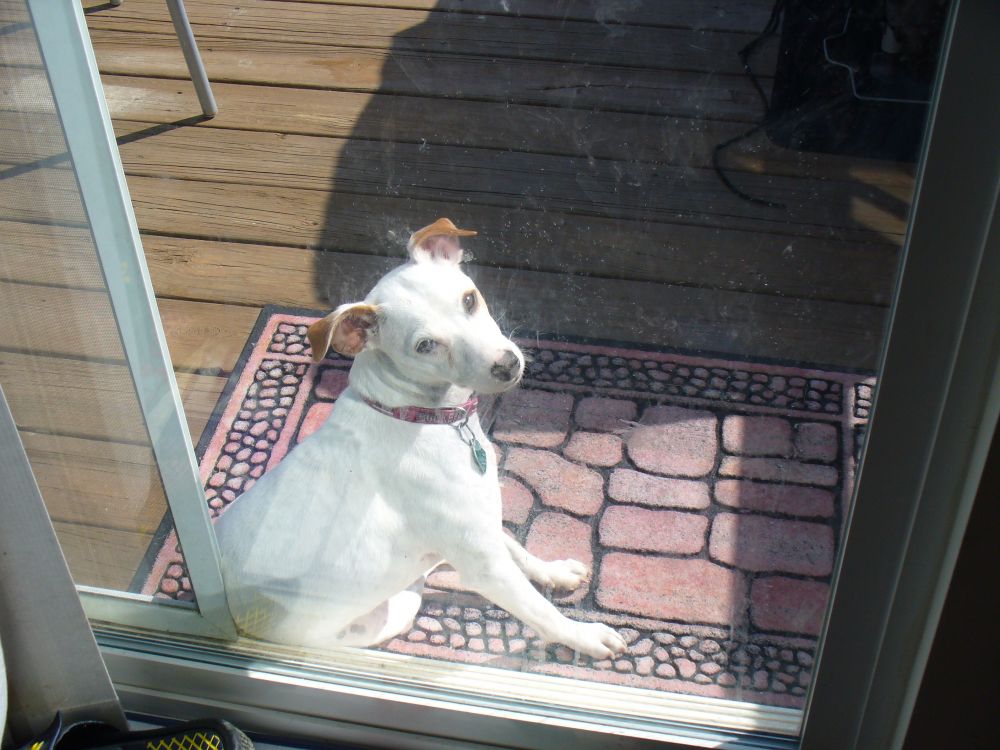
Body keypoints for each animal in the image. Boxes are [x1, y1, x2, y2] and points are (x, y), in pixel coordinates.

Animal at [213, 218, 626, 660]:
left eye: (469, 299)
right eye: (426, 345)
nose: (507, 365)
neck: (422, 417)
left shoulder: (478, 525)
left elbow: (515, 547)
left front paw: (553, 570)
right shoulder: (483, 563)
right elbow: (541, 610)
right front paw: (586, 636)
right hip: (388, 614)